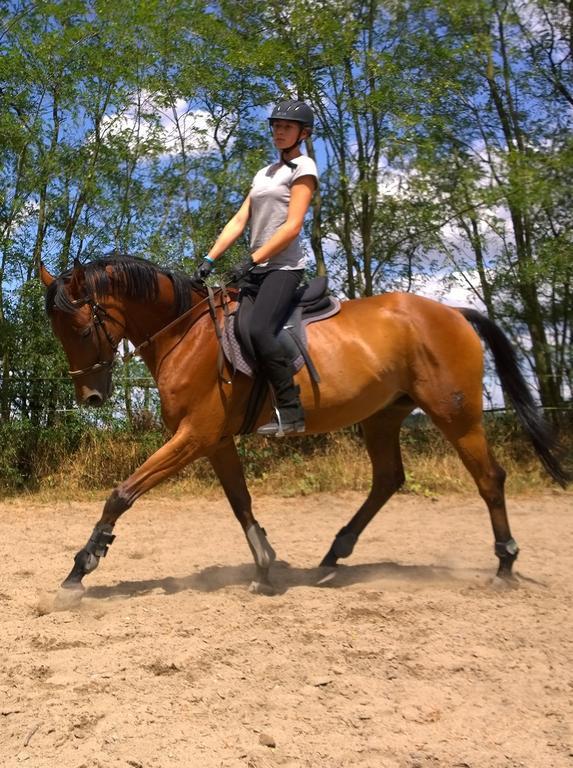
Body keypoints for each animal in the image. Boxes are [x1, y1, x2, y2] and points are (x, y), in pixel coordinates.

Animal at [41, 258, 568, 608]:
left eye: (82, 330)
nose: (91, 396)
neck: (186, 333)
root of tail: (454, 313)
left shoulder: (195, 436)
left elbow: (122, 494)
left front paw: (81, 567)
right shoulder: (216, 441)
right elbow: (241, 502)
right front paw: (264, 566)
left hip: (455, 415)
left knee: (489, 478)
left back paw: (504, 565)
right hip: (383, 415)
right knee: (388, 479)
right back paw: (333, 557)